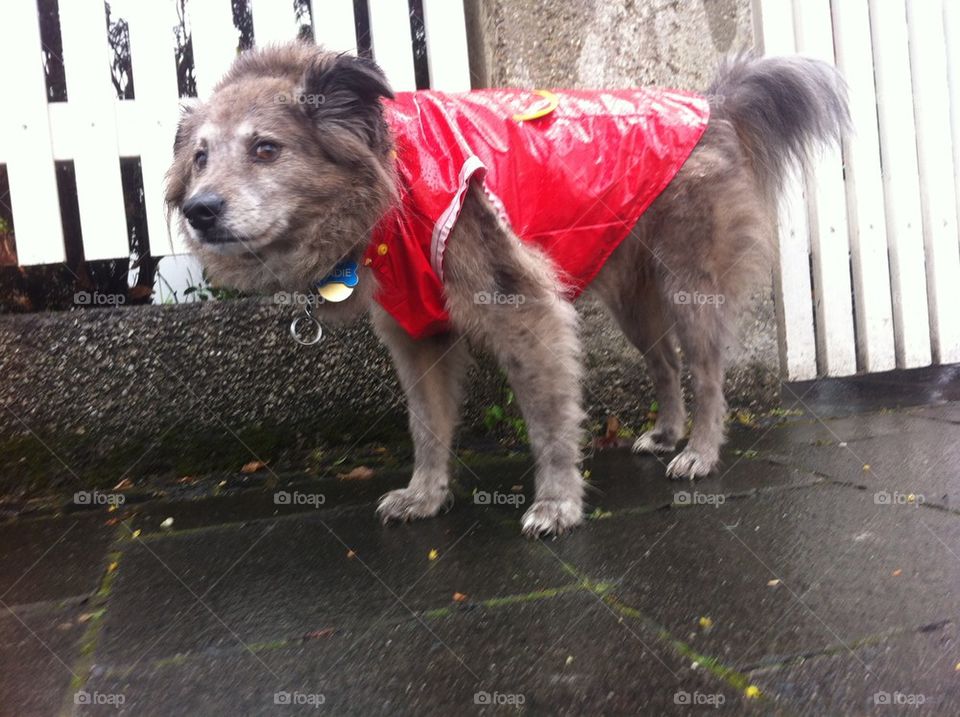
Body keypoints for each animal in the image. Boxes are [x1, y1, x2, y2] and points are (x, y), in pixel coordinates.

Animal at [165, 42, 848, 536]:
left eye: (266, 148)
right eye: (200, 157)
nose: (198, 211)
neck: (394, 184)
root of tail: (713, 105)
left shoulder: (525, 311)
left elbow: (548, 419)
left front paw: (558, 504)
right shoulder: (418, 336)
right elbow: (427, 425)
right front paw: (425, 496)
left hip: (690, 289)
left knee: (705, 372)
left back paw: (701, 452)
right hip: (632, 301)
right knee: (665, 365)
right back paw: (665, 434)